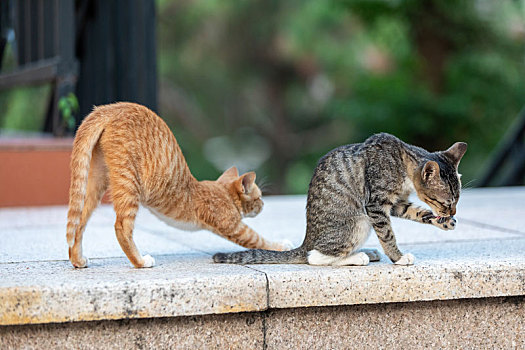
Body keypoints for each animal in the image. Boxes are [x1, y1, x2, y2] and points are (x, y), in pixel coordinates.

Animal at [64, 101, 290, 268]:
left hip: (96, 180)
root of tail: (110, 108)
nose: (263, 205)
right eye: (259, 197)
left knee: (79, 221)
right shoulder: (233, 226)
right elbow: (259, 240)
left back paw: (78, 260)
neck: (222, 192)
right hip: (128, 182)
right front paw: (281, 245)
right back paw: (140, 262)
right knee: (122, 226)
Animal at [213, 133, 466, 266]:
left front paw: (443, 222)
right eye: (446, 202)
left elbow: (417, 211)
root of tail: (307, 240)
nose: (452, 213)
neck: (401, 160)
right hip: (358, 220)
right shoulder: (375, 204)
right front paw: (398, 258)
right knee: (314, 256)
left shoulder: (396, 204)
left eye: (457, 201)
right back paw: (359, 257)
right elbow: (387, 234)